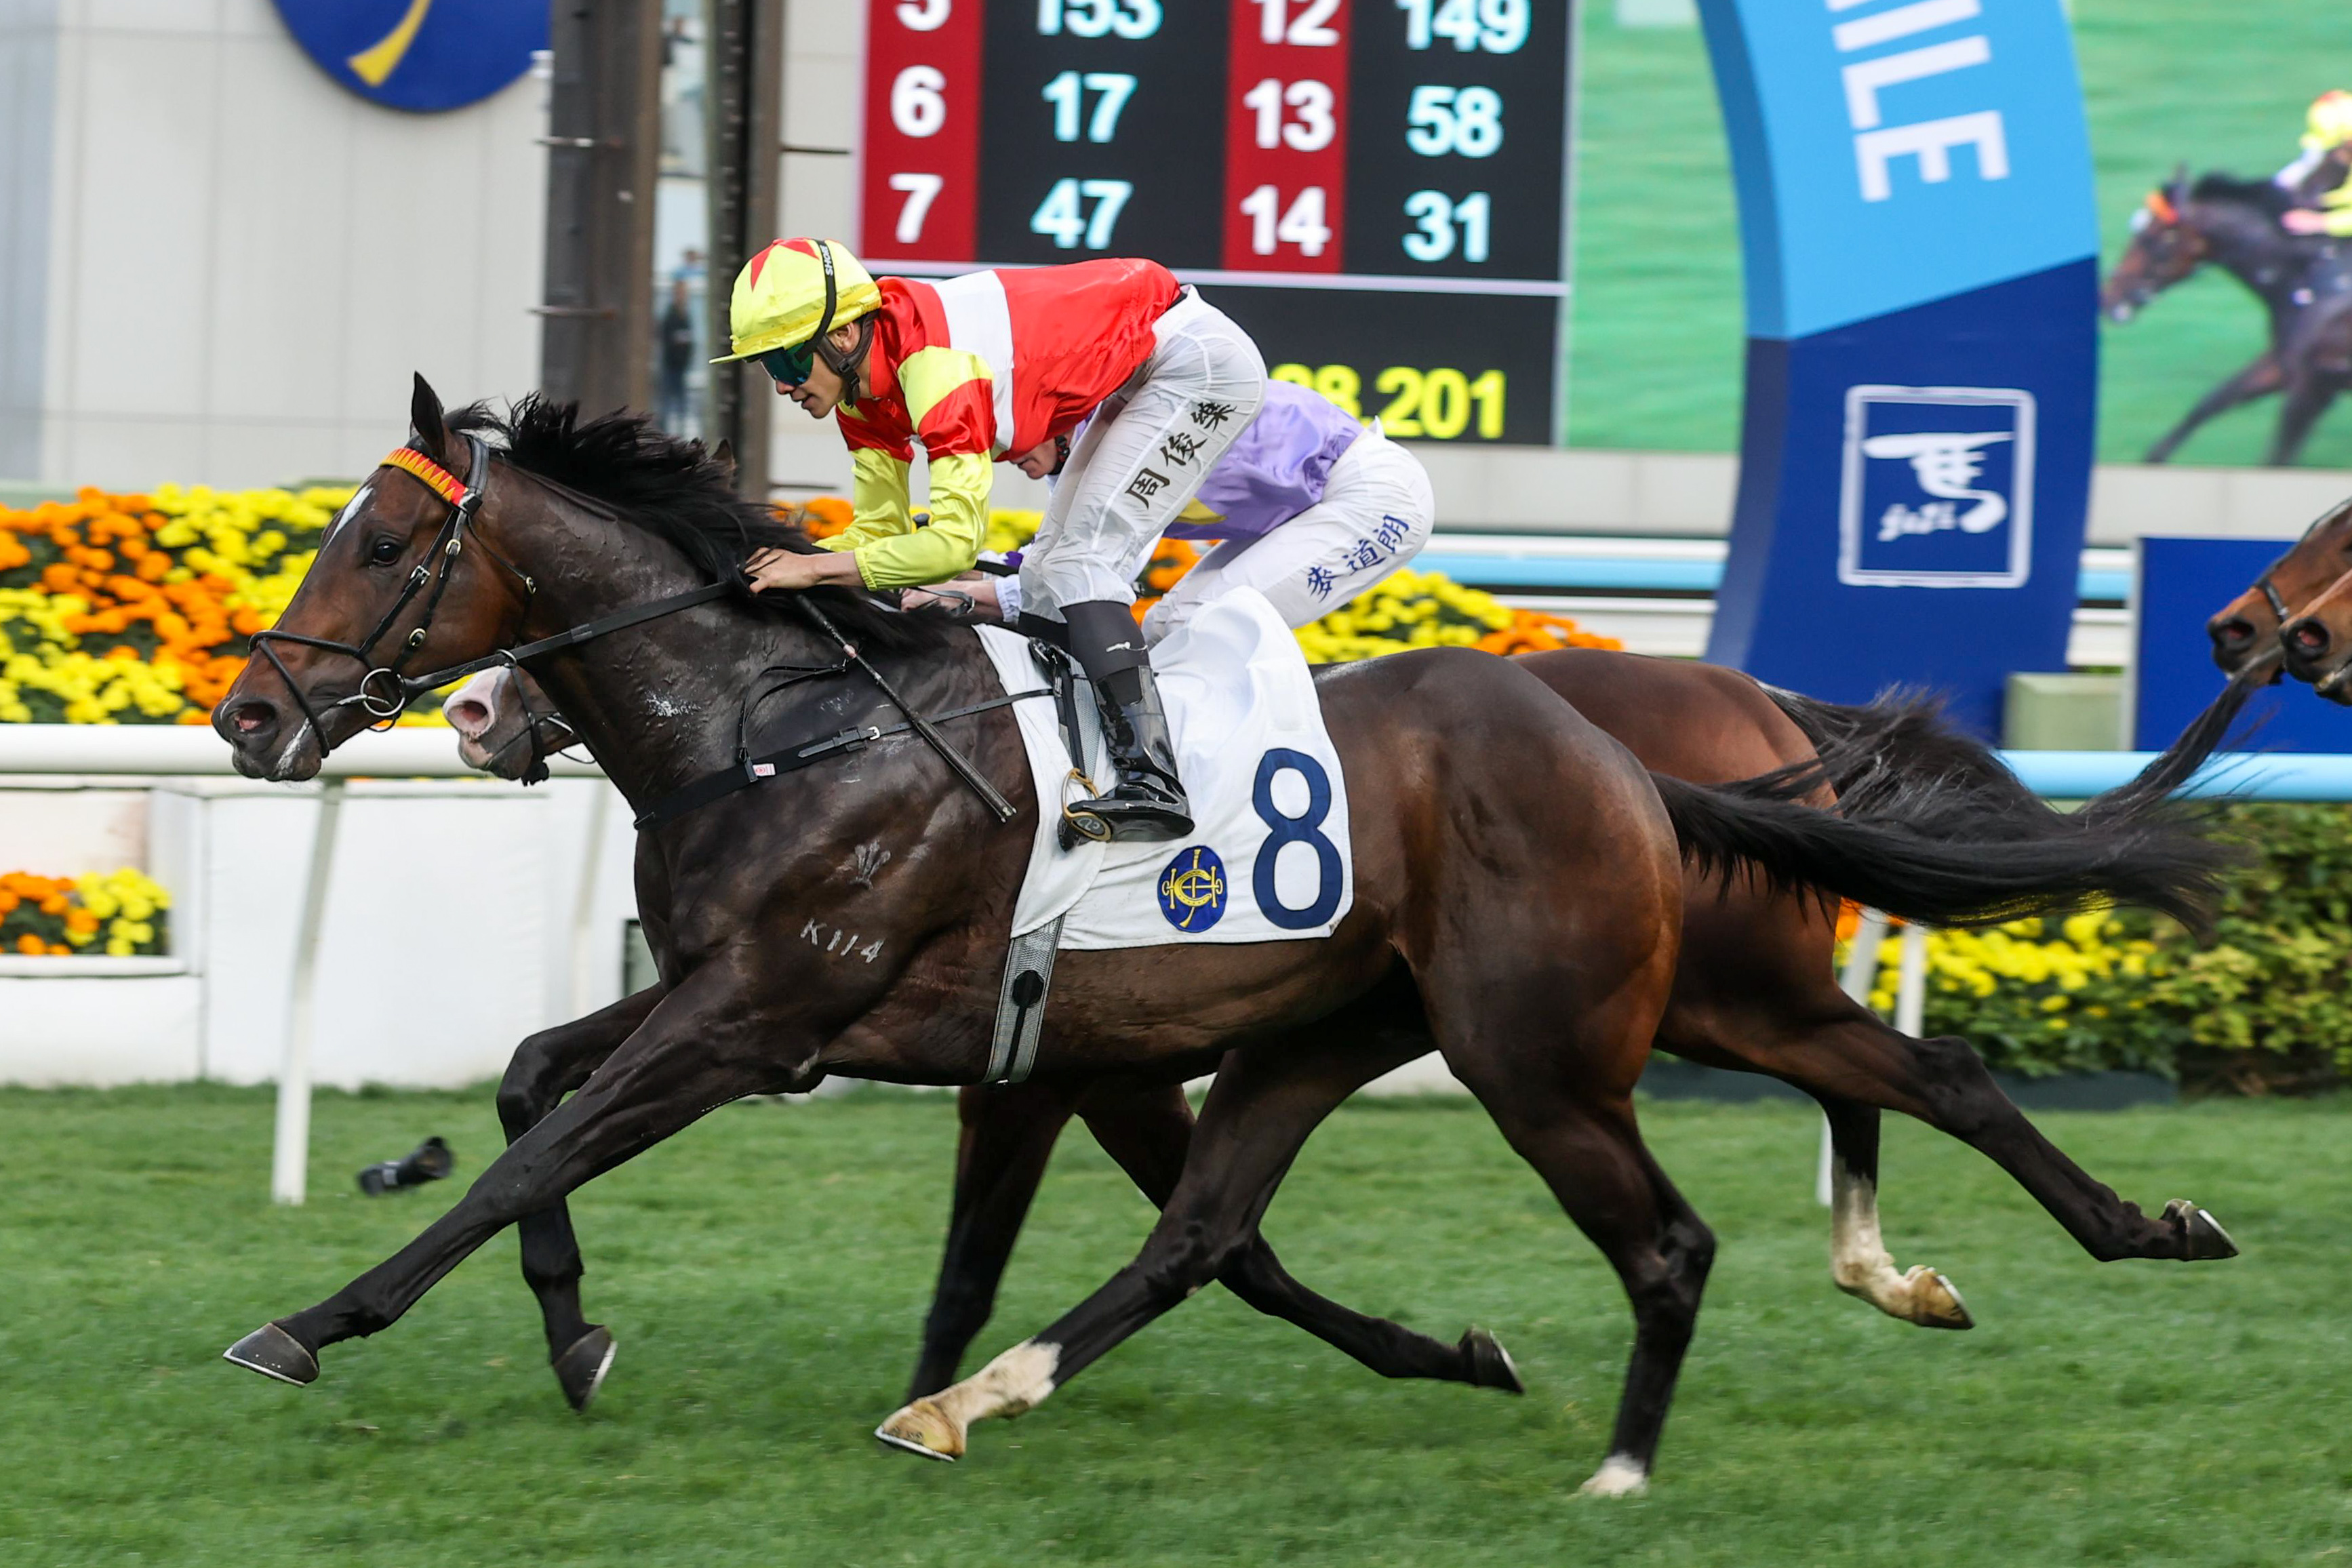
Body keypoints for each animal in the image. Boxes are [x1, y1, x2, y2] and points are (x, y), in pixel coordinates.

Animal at [212, 382, 2231, 1493]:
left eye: (382, 543)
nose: (246, 719)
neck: (789, 723)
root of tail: (1651, 745)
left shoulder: (767, 1018)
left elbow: (532, 1143)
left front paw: (313, 1323)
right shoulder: (912, 1037)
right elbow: (527, 1091)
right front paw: (579, 1335)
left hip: (1573, 1029)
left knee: (1764, 1161)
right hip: (1461, 1015)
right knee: (1911, 1070)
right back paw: (2103, 1233)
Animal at [2101, 170, 2352, 465]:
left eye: (2148, 239)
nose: (2107, 297)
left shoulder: (2312, 388)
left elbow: (2277, 456)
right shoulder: (2282, 365)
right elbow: (2212, 401)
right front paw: (2154, 456)